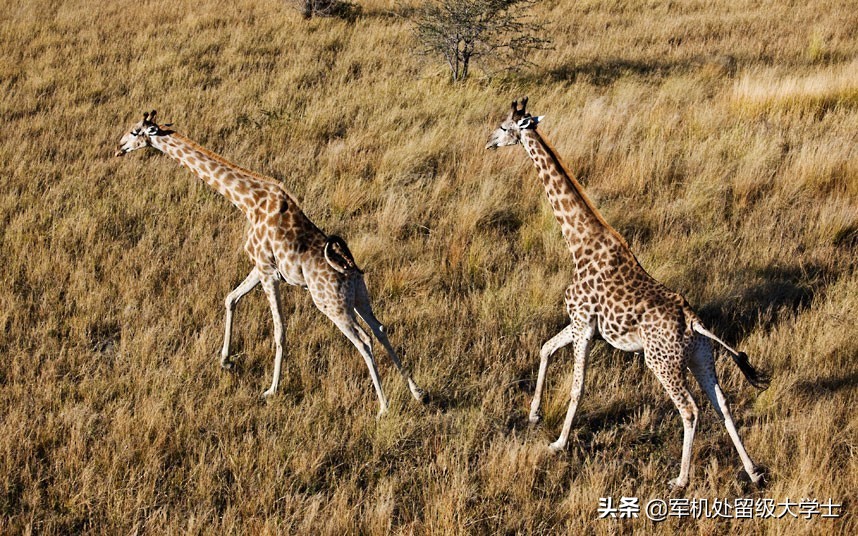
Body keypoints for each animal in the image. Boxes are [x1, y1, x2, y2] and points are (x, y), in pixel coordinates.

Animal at [117, 110, 424, 414]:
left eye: (135, 132)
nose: (119, 148)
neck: (247, 201)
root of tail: (348, 268)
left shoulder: (268, 272)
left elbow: (279, 331)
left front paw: (272, 390)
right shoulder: (260, 266)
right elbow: (231, 298)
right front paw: (226, 361)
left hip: (331, 305)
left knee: (364, 340)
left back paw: (383, 408)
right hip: (359, 296)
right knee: (380, 328)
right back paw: (417, 392)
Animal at [482, 98, 768, 488]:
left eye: (503, 126)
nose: (488, 143)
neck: (578, 243)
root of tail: (692, 320)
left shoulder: (583, 324)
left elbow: (577, 386)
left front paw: (558, 443)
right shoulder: (583, 324)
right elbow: (545, 348)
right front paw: (534, 414)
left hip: (661, 362)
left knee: (691, 410)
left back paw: (680, 480)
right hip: (700, 356)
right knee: (722, 403)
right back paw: (752, 471)